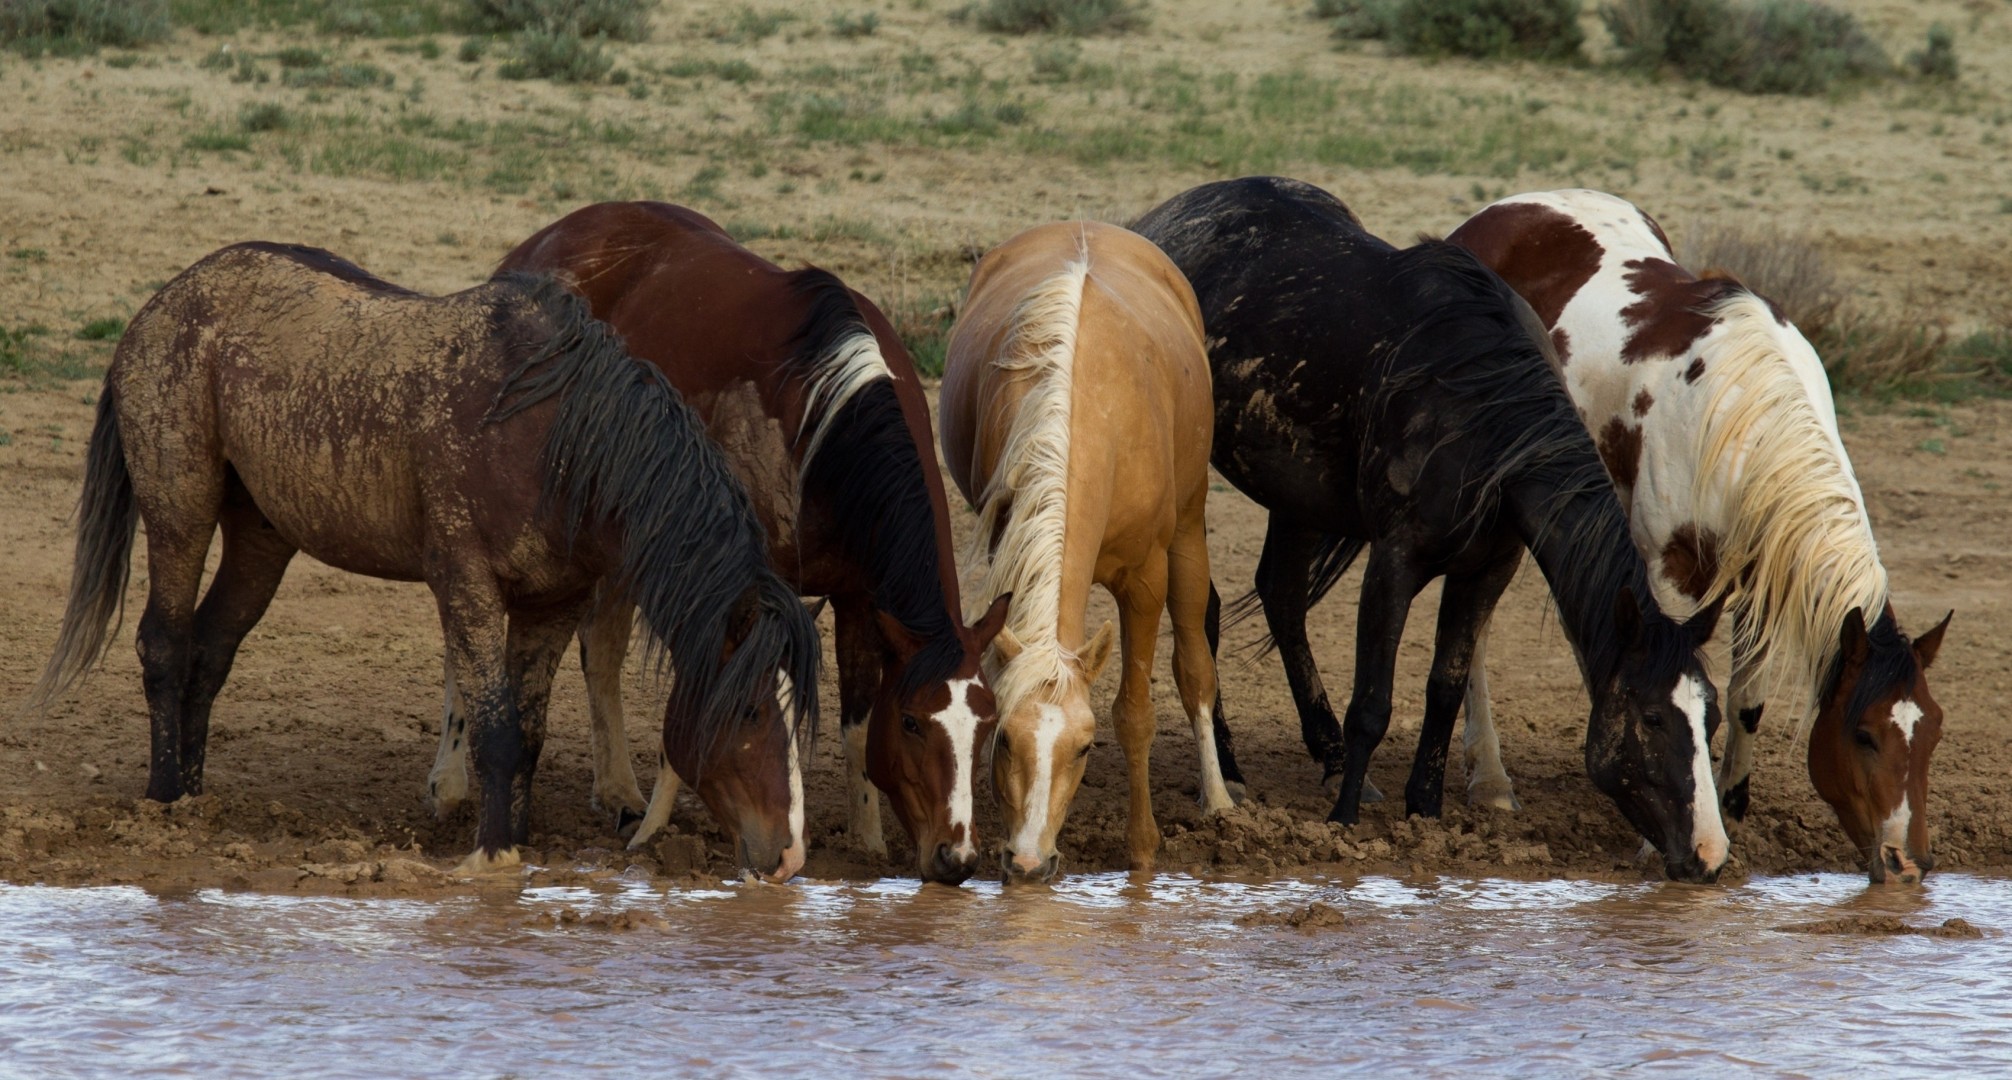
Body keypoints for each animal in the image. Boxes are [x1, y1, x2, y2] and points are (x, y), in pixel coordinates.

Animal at [23, 242, 821, 880]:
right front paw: (492, 856)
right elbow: (495, 728)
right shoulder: (466, 584)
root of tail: (161, 302)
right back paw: (163, 801)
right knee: (165, 643)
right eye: (750, 709)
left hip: (261, 534)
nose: (788, 856)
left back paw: (194, 797)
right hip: (180, 508)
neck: (555, 439)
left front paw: (515, 842)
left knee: (210, 649)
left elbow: (527, 733)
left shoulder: (552, 603)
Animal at [478, 201, 1011, 885]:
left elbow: (857, 722)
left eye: (988, 722)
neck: (822, 425)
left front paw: (866, 839)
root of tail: (538, 245)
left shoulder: (860, 600)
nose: (956, 857)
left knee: (601, 648)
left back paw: (617, 793)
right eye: (914, 722)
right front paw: (656, 832)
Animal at [940, 220, 1237, 883]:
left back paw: (1218, 799)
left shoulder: (1146, 580)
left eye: (1082, 749)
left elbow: (1135, 712)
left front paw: (1142, 848)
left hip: (1190, 528)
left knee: (1195, 669)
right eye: (1005, 741)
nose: (1027, 861)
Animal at [1133, 177, 1730, 882]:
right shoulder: (1395, 561)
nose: (1709, 854)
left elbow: (1445, 686)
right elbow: (1373, 702)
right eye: (1652, 717)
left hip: (1297, 495)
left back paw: (1328, 756)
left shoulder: (1487, 569)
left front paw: (1425, 807)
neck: (1479, 419)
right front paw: (1343, 821)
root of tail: (1158, 221)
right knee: (1206, 609)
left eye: (1712, 717)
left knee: (1281, 596)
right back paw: (1231, 770)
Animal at [1449, 189, 1952, 883]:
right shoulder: (1670, 572)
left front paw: (1730, 805)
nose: (1908, 862)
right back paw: (1490, 781)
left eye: (1932, 732)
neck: (1740, 420)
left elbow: (1745, 702)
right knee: (1475, 628)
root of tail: (1499, 213)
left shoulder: (1761, 581)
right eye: (1864, 734)